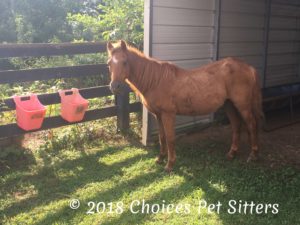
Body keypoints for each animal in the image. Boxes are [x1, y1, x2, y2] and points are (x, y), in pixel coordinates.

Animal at [106, 40, 262, 172]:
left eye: (125, 62)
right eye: (109, 64)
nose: (115, 87)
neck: (156, 81)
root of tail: (248, 67)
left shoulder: (168, 114)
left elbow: (170, 138)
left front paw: (170, 165)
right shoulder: (158, 115)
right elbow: (161, 137)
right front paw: (160, 158)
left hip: (242, 105)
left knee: (252, 125)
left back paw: (253, 155)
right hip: (229, 104)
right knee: (236, 125)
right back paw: (231, 153)